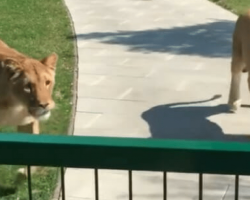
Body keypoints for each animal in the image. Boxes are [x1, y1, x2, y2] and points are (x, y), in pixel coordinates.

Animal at [0, 38, 57, 191]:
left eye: (47, 82)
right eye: (28, 87)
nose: (44, 105)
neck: (15, 104)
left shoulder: (27, 122)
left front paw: (21, 176)